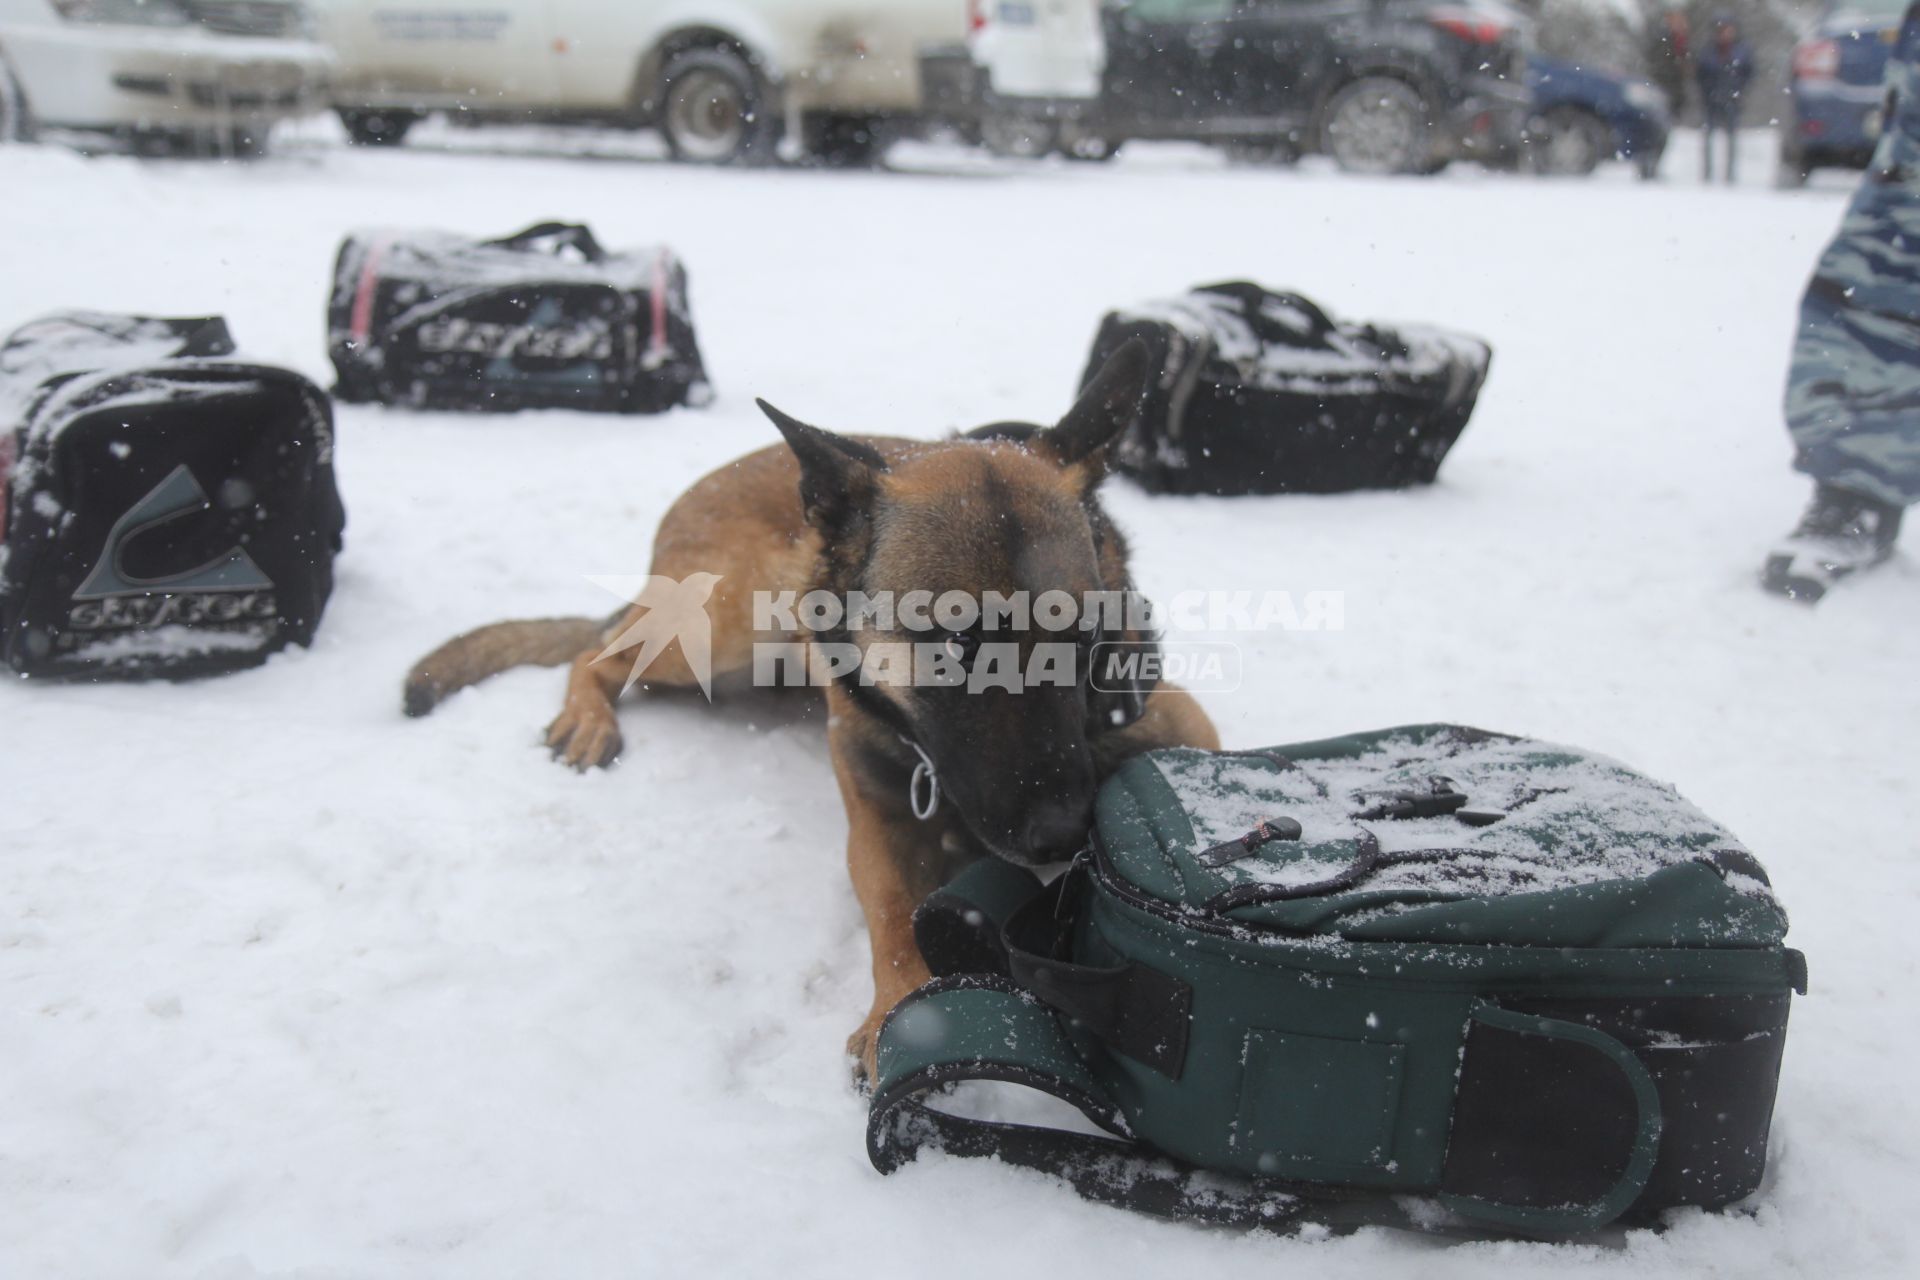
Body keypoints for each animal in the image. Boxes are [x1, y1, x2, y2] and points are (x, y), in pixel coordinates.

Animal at [401, 343, 1213, 1074]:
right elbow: (890, 909)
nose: (1062, 833)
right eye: (956, 641)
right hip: (722, 625)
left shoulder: (1183, 726)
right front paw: (898, 1010)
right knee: (597, 651)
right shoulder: (877, 821)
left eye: (1086, 638)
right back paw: (589, 716)